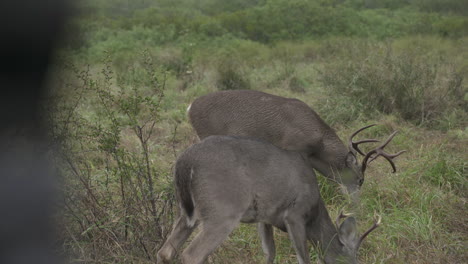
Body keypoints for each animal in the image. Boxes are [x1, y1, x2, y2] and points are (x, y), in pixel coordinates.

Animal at [157, 136, 380, 264]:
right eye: (352, 258)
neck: (314, 213)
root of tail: (185, 161)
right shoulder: (295, 214)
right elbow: (304, 258)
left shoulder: (265, 218)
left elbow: (269, 254)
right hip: (222, 210)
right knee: (191, 255)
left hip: (187, 212)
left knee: (165, 252)